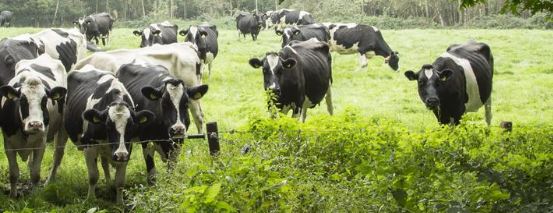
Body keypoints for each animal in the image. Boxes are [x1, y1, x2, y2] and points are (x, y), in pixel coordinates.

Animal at [0, 54, 67, 197]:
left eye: (45, 100)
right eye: (22, 100)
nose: (35, 124)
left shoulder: (40, 143)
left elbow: (35, 173)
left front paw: (35, 195)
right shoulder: (8, 144)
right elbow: (13, 173)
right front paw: (12, 196)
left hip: (62, 128)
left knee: (57, 155)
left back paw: (50, 181)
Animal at [62, 65, 153, 205]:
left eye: (131, 127)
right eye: (108, 125)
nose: (120, 154)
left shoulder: (126, 150)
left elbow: (120, 181)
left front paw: (120, 203)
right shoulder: (89, 146)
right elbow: (93, 176)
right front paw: (90, 199)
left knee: (105, 164)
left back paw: (109, 184)